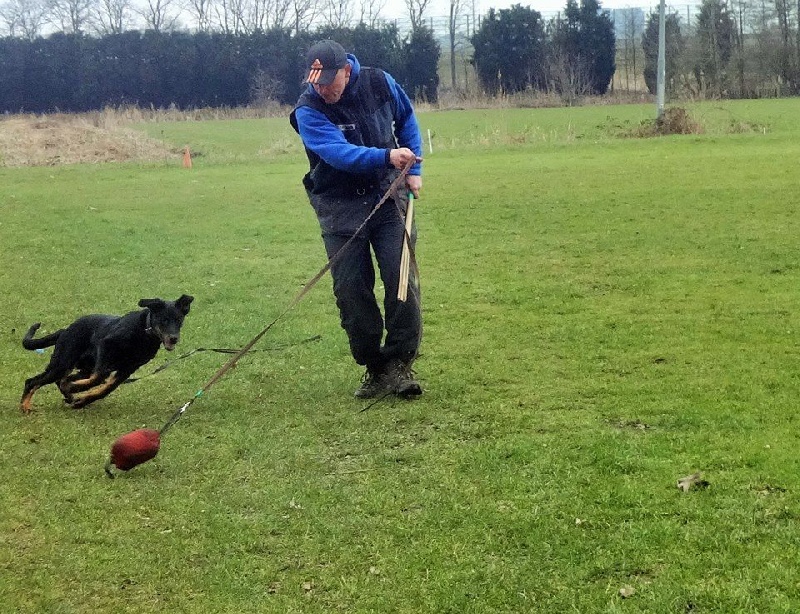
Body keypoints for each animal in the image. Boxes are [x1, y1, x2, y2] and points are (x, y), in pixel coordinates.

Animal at [20, 298, 194, 414]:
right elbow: (99, 378)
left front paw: (82, 400)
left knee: (62, 380)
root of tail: (65, 331)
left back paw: (71, 396)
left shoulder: (128, 368)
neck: (145, 332)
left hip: (82, 369)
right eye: (163, 319)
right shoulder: (106, 345)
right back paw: (25, 406)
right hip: (62, 363)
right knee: (33, 381)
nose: (174, 338)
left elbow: (105, 389)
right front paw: (76, 391)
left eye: (179, 320)